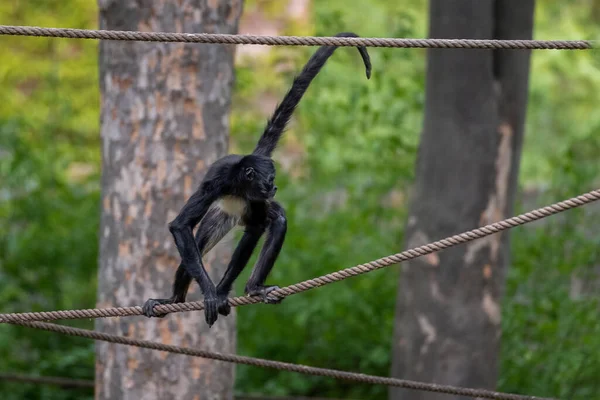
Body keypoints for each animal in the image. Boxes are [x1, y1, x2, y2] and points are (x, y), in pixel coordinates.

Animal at [142, 30, 372, 324]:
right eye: (269, 180)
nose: (275, 188)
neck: (240, 184)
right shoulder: (216, 182)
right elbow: (181, 226)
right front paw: (211, 292)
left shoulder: (255, 200)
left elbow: (257, 228)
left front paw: (220, 292)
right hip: (219, 215)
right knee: (195, 247)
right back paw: (174, 300)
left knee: (276, 220)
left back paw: (252, 288)